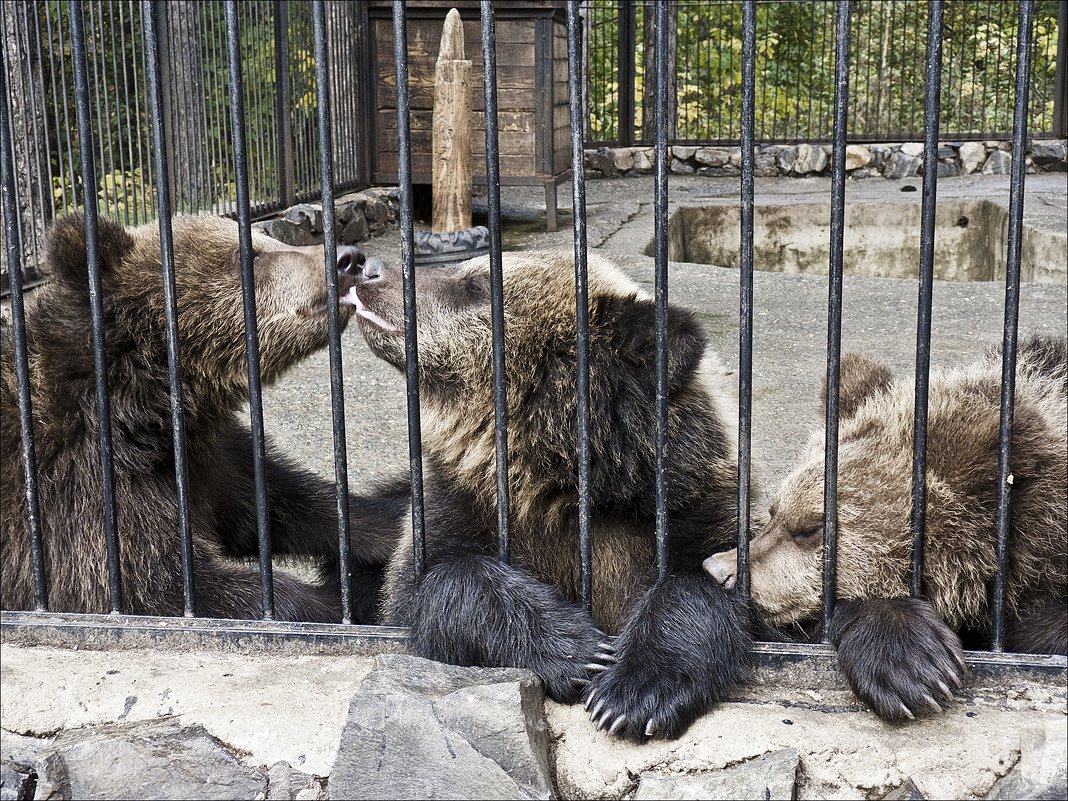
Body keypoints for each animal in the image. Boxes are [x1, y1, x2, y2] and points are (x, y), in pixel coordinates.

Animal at [0, 211, 401, 619]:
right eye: (249, 254)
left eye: (271, 241)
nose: (350, 259)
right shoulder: (80, 500)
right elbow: (163, 589)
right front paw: (344, 605)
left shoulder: (210, 459)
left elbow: (278, 501)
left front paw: (394, 524)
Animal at [341, 249, 751, 739]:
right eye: (468, 269)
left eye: (476, 285)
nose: (369, 269)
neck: (553, 483)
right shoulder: (457, 504)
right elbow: (430, 588)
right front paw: (580, 652)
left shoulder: (686, 507)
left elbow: (705, 584)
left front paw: (631, 693)